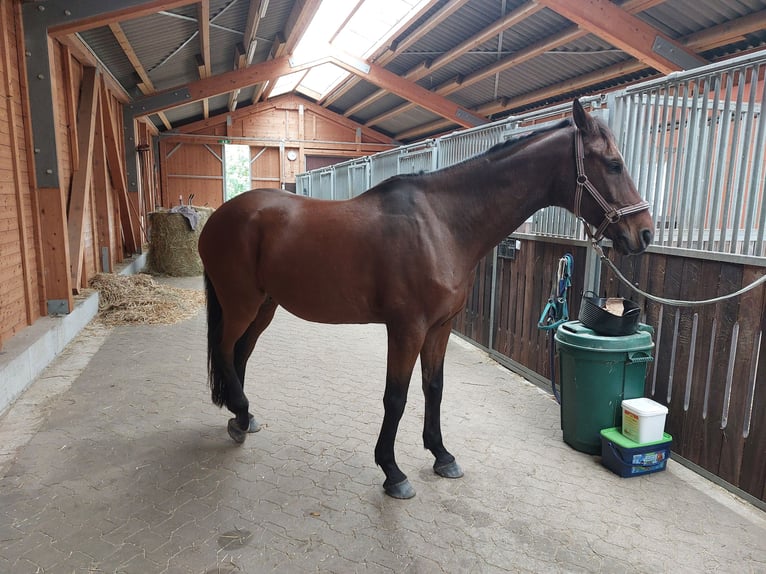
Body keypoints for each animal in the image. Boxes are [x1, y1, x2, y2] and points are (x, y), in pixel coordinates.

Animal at [198, 99, 656, 500]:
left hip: (263, 306)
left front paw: (441, 455)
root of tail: (218, 218)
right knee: (224, 348)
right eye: (613, 164)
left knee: (239, 354)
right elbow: (396, 397)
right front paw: (392, 471)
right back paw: (240, 412)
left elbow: (433, 388)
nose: (645, 233)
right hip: (241, 304)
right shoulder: (407, 329)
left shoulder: (440, 327)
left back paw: (241, 417)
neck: (441, 224)